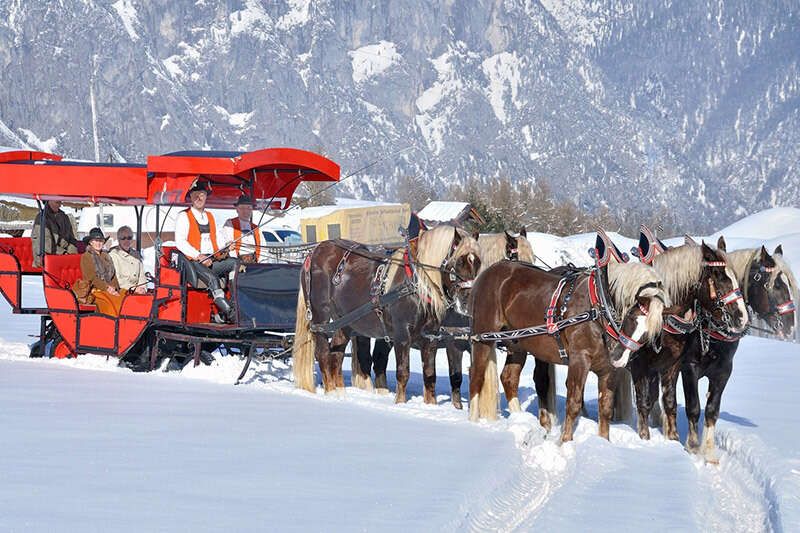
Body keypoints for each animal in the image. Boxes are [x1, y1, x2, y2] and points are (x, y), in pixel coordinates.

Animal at [296, 224, 478, 404]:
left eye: (478, 262)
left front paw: (430, 405)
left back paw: (341, 393)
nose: (470, 300)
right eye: (459, 262)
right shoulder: (402, 334)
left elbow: (429, 375)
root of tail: (314, 252)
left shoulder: (431, 337)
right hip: (320, 318)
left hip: (346, 322)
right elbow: (403, 372)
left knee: (337, 354)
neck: (417, 282)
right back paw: (331, 393)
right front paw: (400, 403)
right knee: (323, 353)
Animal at [466, 241, 664, 440]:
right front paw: (565, 441)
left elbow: (605, 408)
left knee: (509, 378)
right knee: (476, 376)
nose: (619, 357)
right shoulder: (579, 360)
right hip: (482, 338)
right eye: (631, 316)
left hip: (517, 343)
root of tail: (488, 272)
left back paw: (520, 419)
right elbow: (574, 403)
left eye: (651, 333)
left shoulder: (608, 370)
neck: (599, 307)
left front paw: (603, 442)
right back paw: (472, 422)